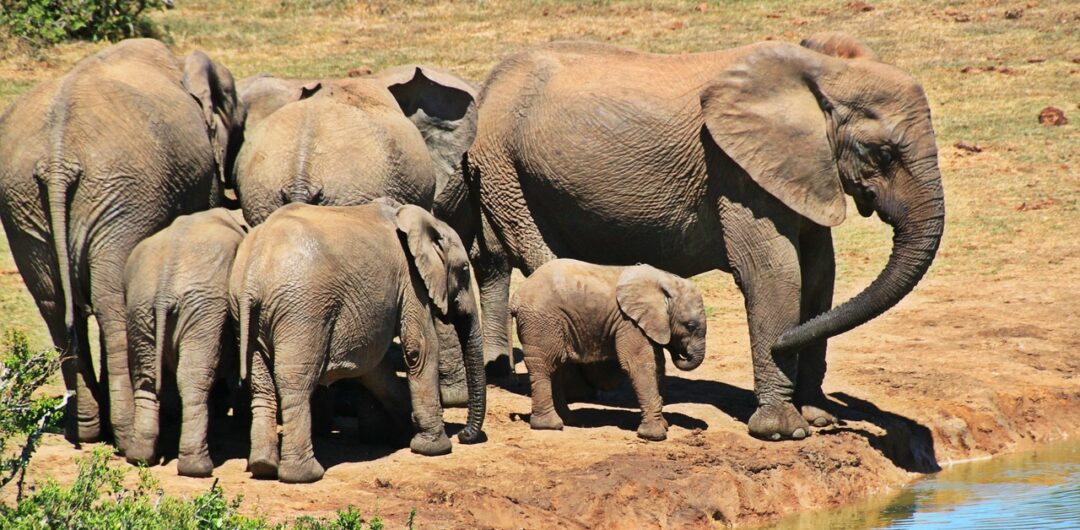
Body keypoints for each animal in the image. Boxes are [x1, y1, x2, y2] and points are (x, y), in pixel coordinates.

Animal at [0, 39, 244, 448]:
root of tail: (57, 159)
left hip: (25, 204)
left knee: (55, 305)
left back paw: (84, 429)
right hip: (122, 196)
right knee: (111, 303)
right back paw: (126, 435)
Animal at [122, 208, 247, 477]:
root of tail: (164, 290)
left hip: (139, 307)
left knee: (146, 378)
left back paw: (139, 457)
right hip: (203, 310)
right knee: (193, 380)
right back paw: (198, 468)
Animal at [228, 200, 486, 483]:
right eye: (464, 270)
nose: (465, 435)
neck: (419, 218)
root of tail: (252, 278)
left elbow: (375, 368)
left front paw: (404, 434)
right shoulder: (410, 279)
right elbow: (420, 349)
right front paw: (434, 448)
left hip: (246, 314)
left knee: (261, 385)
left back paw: (262, 467)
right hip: (302, 312)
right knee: (295, 384)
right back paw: (304, 475)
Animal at [511, 260, 707, 441]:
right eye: (690, 326)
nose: (681, 353)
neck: (666, 281)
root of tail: (516, 297)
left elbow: (658, 365)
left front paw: (664, 425)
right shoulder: (629, 323)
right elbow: (639, 365)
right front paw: (655, 435)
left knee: (556, 367)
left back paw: (569, 420)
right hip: (541, 322)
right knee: (544, 366)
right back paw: (550, 425)